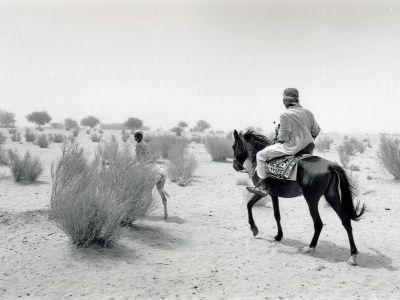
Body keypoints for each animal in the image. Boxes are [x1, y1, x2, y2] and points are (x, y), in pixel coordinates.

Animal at [231, 129, 366, 264]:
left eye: (233, 146)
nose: (235, 166)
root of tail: (330, 166)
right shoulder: (273, 194)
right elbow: (276, 215)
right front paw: (278, 236)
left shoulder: (262, 192)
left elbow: (249, 205)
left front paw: (254, 228)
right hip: (332, 197)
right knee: (346, 221)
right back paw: (353, 255)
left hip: (311, 200)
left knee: (319, 223)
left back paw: (310, 247)